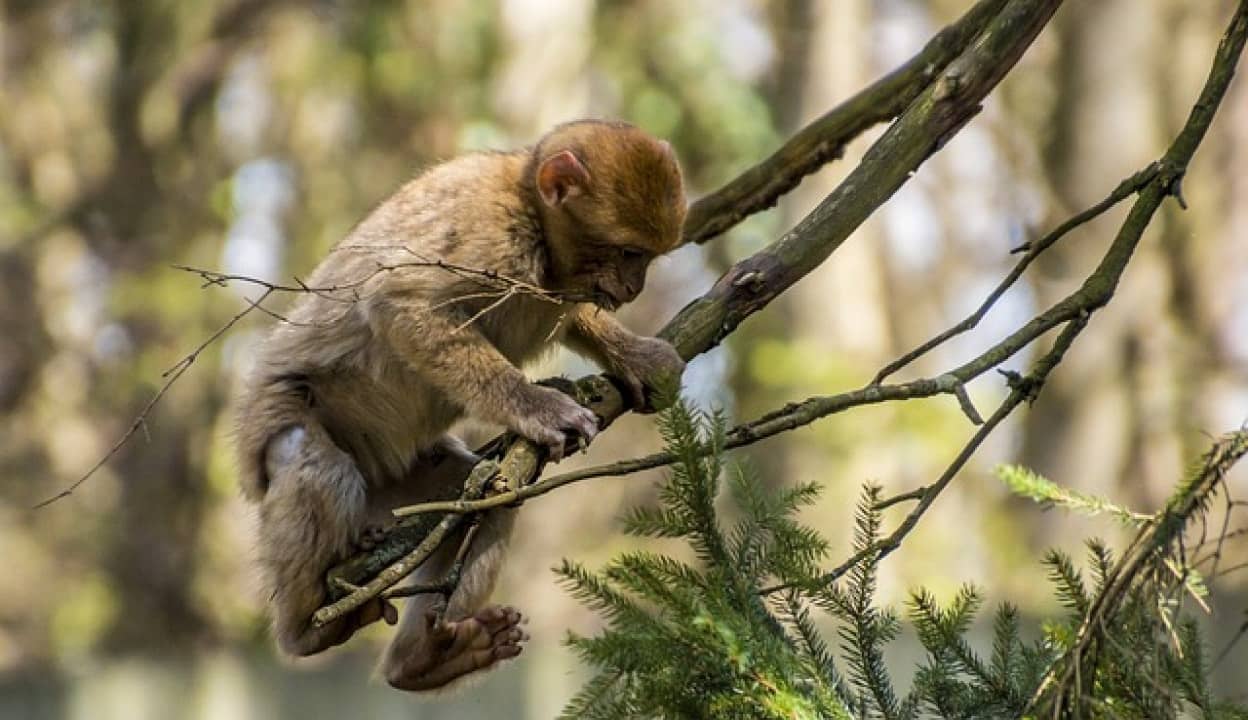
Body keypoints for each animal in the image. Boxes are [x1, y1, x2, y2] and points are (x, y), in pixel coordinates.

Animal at [230, 119, 688, 688]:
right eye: (629, 253)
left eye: (645, 257)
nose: (633, 288)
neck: (531, 214)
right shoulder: (487, 238)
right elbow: (402, 305)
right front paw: (538, 407)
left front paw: (635, 356)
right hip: (285, 425)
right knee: (312, 459)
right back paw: (304, 630)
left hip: (400, 485)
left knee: (487, 497)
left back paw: (421, 661)